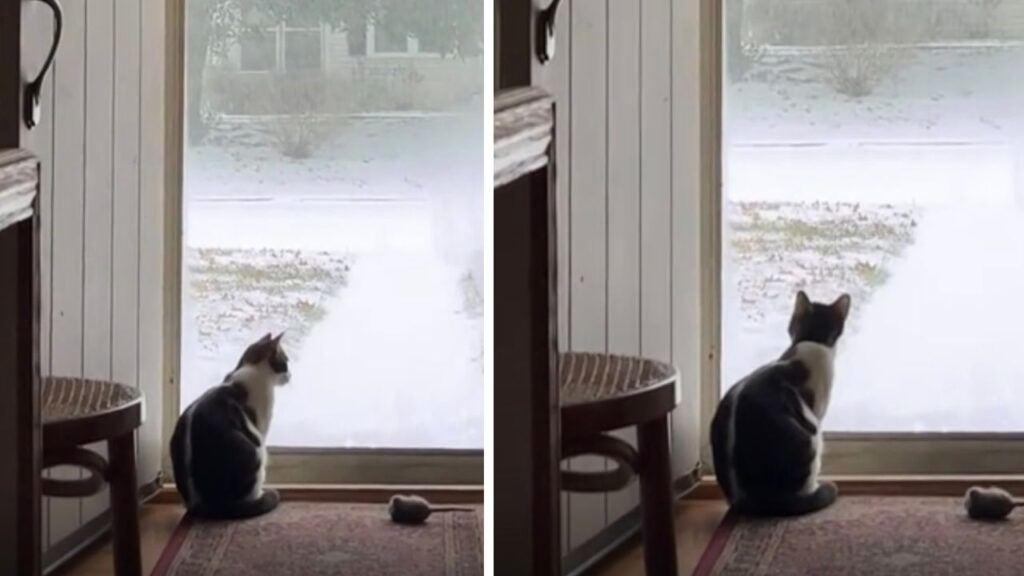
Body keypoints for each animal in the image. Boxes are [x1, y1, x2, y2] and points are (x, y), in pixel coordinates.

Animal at [167, 330, 288, 518]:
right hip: (255, 451)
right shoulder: (261, 426)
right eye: (285, 361)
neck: (252, 368)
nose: (290, 375)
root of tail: (201, 505)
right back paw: (259, 497)